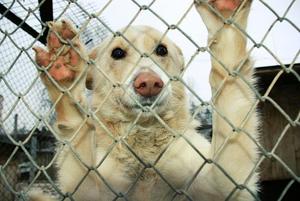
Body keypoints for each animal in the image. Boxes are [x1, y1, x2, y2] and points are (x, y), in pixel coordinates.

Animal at [31, 0, 260, 200]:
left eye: (161, 50)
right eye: (117, 53)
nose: (149, 83)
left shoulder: (224, 183)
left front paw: (225, 16)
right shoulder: (91, 188)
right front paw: (65, 69)